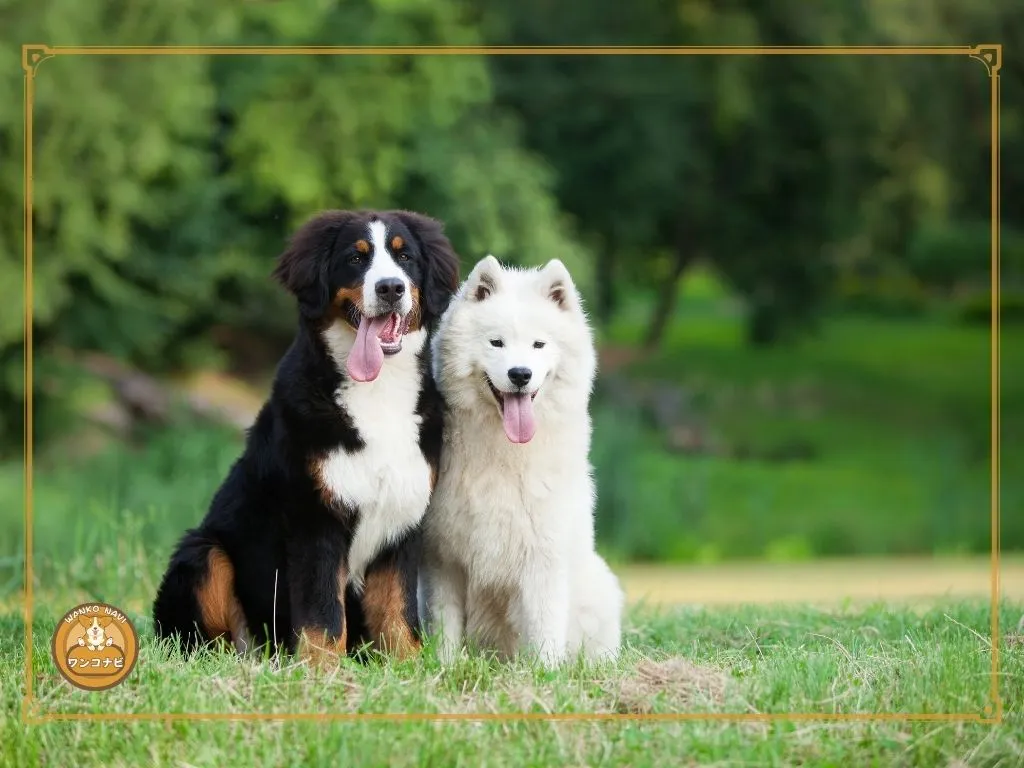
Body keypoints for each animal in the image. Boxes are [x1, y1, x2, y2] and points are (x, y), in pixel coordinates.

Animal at [151, 210, 460, 667]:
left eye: (405, 257)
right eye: (355, 257)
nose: (390, 287)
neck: (377, 392)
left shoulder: (402, 520)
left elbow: (397, 609)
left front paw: (409, 667)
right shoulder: (314, 518)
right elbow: (323, 611)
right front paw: (321, 669)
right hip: (205, 551)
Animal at [417, 256, 622, 663]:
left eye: (539, 344)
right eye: (496, 342)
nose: (520, 374)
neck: (504, 453)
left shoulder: (544, 560)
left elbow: (544, 629)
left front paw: (546, 671)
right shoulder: (443, 561)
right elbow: (444, 628)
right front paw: (445, 666)